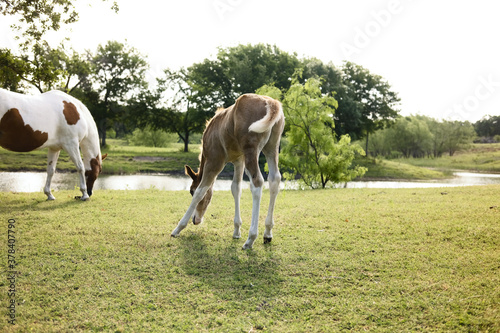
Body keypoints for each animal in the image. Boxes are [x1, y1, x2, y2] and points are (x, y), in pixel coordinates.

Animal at [171, 92, 286, 248]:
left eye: (191, 191)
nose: (196, 220)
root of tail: (271, 102)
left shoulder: (214, 161)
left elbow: (201, 191)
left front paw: (178, 228)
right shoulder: (239, 160)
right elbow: (235, 188)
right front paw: (237, 231)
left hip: (251, 149)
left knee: (257, 182)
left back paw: (251, 238)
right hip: (271, 148)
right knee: (274, 179)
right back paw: (267, 233)